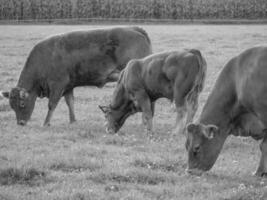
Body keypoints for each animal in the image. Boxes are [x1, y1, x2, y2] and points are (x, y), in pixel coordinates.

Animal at [1, 26, 153, 126]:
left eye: (22, 104)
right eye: (11, 106)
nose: (20, 123)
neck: (45, 58)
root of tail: (135, 29)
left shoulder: (57, 85)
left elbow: (52, 104)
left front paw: (46, 123)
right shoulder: (68, 86)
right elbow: (70, 103)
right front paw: (73, 120)